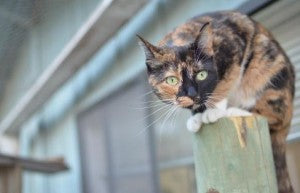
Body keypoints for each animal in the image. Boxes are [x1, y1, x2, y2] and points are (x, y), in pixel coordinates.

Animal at [138, 10, 296, 193]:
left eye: (202, 74)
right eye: (172, 80)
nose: (192, 94)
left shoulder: (233, 51)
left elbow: (224, 84)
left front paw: (213, 111)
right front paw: (196, 117)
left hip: (270, 72)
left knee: (274, 115)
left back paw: (235, 110)